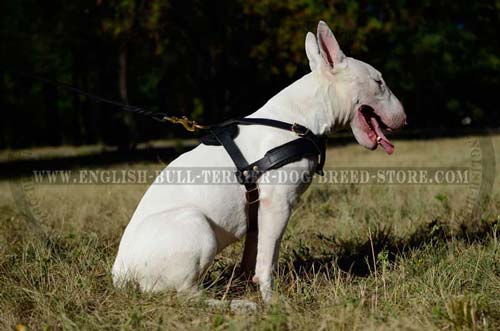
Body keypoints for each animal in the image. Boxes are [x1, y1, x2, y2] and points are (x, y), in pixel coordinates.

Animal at [112, 21, 406, 304]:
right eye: (379, 82)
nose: (404, 119)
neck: (300, 119)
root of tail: (120, 276)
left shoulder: (259, 213)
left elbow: (255, 254)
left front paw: (249, 284)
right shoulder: (277, 204)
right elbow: (267, 260)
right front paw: (271, 300)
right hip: (195, 224)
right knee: (187, 295)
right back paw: (236, 304)